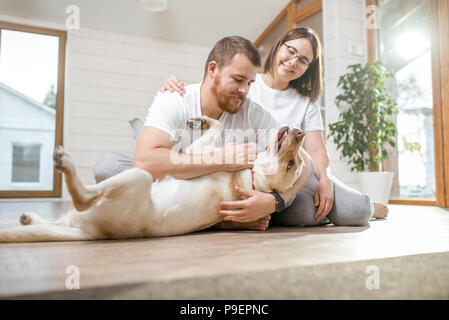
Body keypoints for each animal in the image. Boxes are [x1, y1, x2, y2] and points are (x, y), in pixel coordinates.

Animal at [0, 115, 312, 242]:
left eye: (291, 164)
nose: (300, 133)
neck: (253, 178)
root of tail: (92, 233)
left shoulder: (198, 154)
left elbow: (217, 129)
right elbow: (218, 125)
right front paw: (201, 120)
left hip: (138, 177)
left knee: (82, 197)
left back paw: (64, 163)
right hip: (78, 216)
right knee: (60, 219)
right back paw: (31, 219)